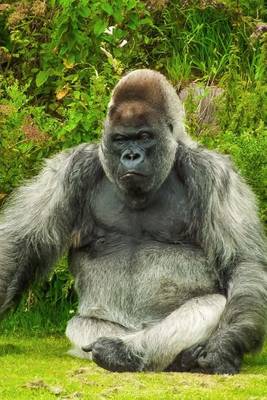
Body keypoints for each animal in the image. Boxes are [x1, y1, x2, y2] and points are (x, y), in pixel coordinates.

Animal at [0, 69, 267, 376]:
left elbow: (242, 263)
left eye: (143, 137)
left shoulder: (214, 174)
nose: (131, 156)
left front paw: (224, 346)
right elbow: (21, 243)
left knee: (211, 304)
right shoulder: (69, 170)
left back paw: (128, 353)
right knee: (82, 325)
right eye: (120, 140)